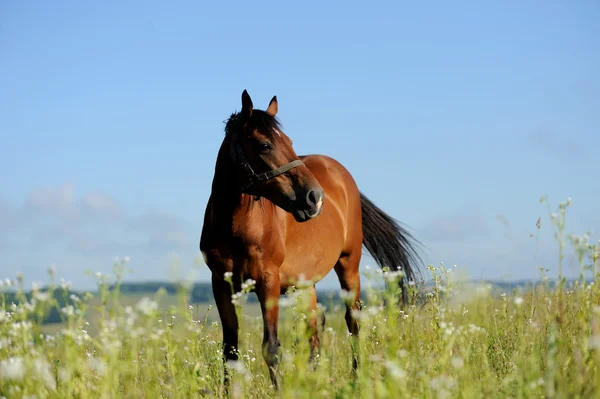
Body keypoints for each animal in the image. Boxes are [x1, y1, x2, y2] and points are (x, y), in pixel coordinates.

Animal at [198, 90, 422, 390]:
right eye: (264, 144)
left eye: (290, 141)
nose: (315, 198)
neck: (235, 225)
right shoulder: (222, 284)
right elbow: (230, 350)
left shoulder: (268, 282)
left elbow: (271, 347)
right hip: (305, 285)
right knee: (314, 328)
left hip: (348, 266)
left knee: (352, 322)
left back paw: (355, 379)